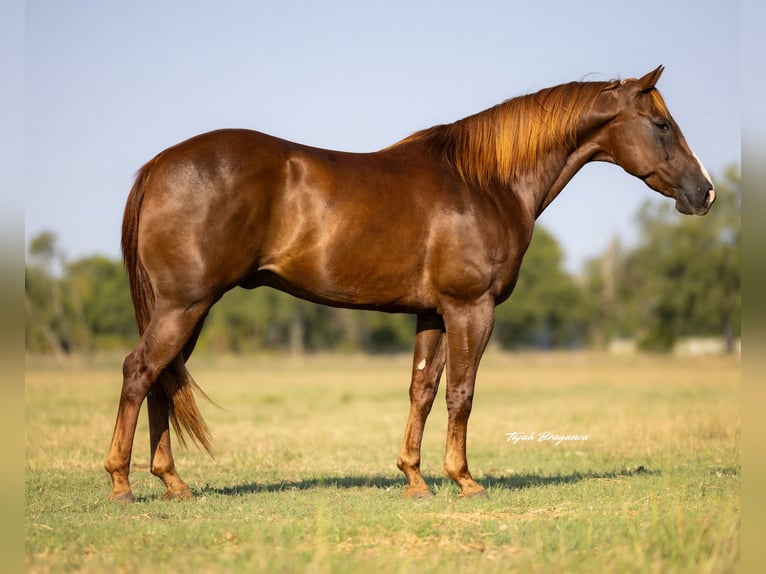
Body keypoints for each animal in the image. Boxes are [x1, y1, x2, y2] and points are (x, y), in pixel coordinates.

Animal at [105, 66, 715, 502]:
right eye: (662, 125)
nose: (704, 192)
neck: (486, 181)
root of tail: (159, 165)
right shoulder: (472, 308)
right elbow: (461, 393)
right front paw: (464, 479)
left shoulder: (433, 313)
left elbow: (422, 390)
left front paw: (415, 478)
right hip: (185, 305)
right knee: (140, 371)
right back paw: (121, 482)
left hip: (186, 309)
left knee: (162, 379)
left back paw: (172, 482)